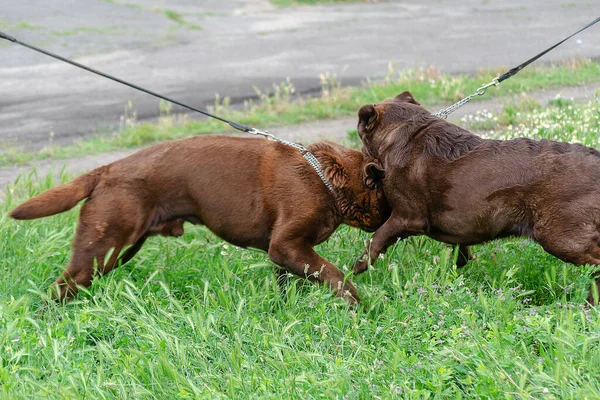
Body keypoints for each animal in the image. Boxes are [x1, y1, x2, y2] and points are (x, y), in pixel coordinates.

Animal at [12, 135, 394, 304]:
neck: (326, 179)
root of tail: (106, 170)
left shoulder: (288, 253)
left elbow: (294, 281)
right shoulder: (287, 245)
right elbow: (335, 273)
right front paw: (356, 305)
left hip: (117, 250)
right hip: (103, 247)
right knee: (60, 287)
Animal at [354, 90, 600, 304]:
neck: (403, 131)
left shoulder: (406, 216)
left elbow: (375, 239)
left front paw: (356, 268)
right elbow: (459, 252)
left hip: (559, 236)